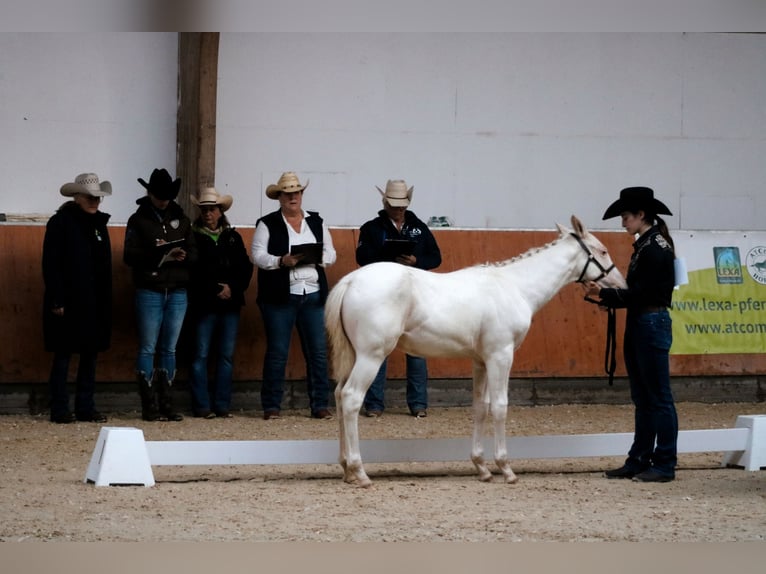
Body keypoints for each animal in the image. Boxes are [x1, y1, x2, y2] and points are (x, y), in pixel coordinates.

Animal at [326, 218, 632, 488]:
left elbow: (480, 408)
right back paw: (360, 472)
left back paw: (346, 469)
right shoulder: (501, 356)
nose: (622, 286)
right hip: (371, 356)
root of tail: (351, 281)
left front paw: (482, 467)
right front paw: (505, 469)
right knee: (351, 398)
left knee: (339, 396)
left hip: (355, 356)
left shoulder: (481, 361)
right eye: (602, 250)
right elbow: (499, 407)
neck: (515, 287)